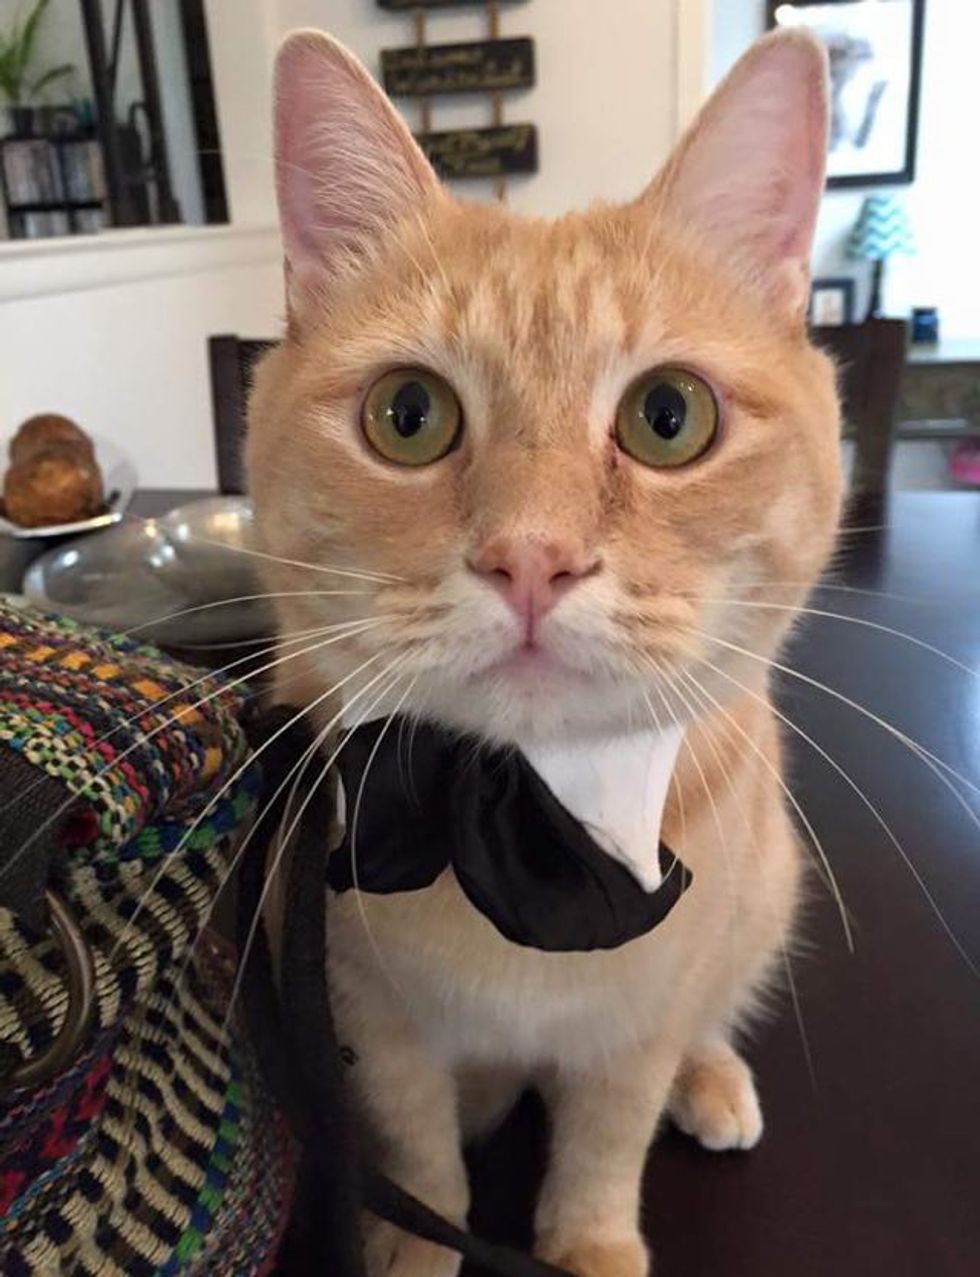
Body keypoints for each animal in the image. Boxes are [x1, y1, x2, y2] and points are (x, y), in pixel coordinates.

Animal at [247, 25, 842, 1277]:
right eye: (406, 415)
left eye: (668, 416)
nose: (531, 557)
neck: (515, 824)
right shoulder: (370, 1021)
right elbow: (417, 1151)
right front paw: (411, 1245)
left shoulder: (637, 1022)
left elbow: (607, 1140)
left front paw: (589, 1243)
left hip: (768, 893)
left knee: (715, 1011)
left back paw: (713, 1080)